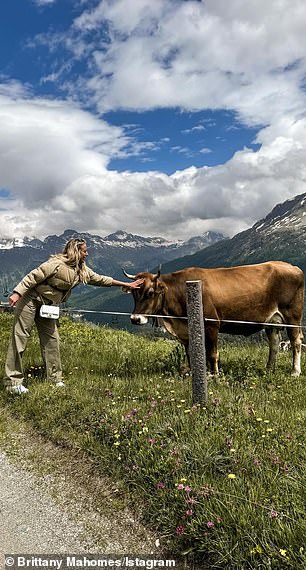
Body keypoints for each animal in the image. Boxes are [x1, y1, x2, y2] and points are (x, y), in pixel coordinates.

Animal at [123, 262, 304, 378]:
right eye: (134, 294)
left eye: (150, 292)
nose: (135, 319)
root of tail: (291, 266)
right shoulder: (186, 330)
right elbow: (191, 353)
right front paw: (193, 373)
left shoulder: (211, 325)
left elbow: (212, 353)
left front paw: (214, 374)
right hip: (271, 321)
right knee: (274, 343)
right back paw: (269, 369)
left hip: (292, 316)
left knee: (296, 341)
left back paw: (295, 371)